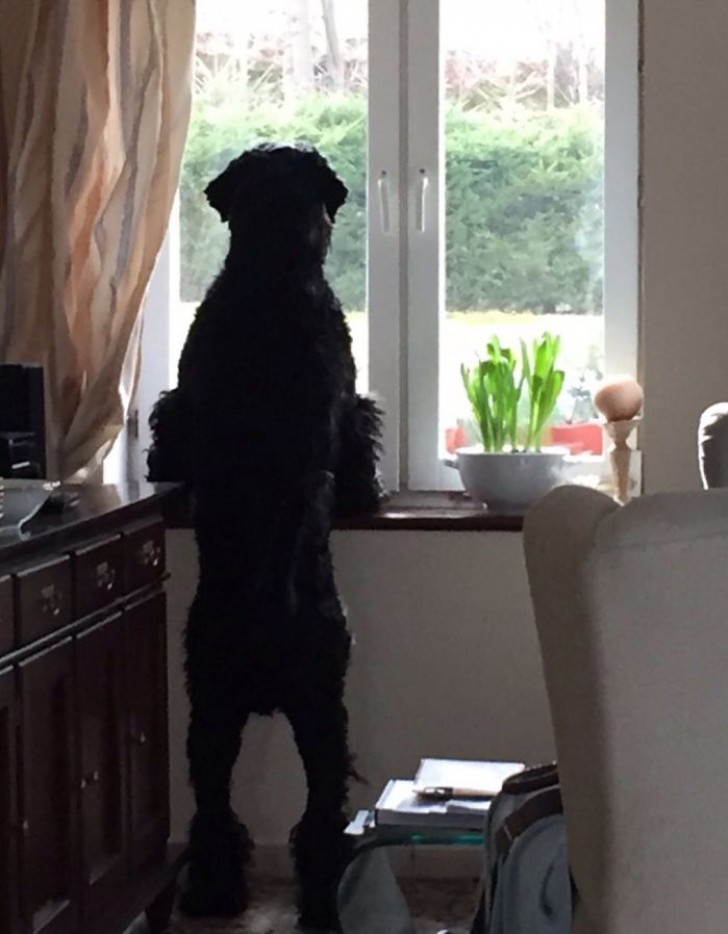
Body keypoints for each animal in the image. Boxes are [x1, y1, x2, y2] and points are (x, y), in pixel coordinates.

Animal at [149, 143, 386, 932]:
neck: (272, 273)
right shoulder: (345, 402)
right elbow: (356, 439)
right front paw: (367, 491)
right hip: (311, 706)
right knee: (312, 816)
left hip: (218, 708)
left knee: (219, 810)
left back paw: (218, 894)